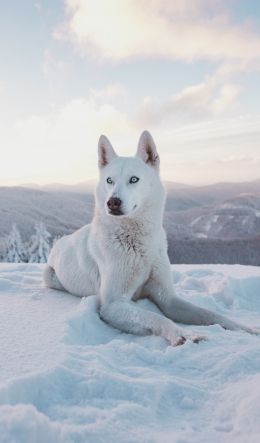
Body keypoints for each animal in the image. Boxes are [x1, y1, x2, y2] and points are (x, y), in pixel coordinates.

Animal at [44, 130, 258, 346]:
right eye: (109, 180)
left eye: (134, 179)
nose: (112, 202)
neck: (137, 243)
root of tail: (61, 241)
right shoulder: (113, 305)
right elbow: (157, 317)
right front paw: (183, 334)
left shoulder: (168, 298)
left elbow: (210, 314)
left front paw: (246, 329)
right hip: (50, 277)